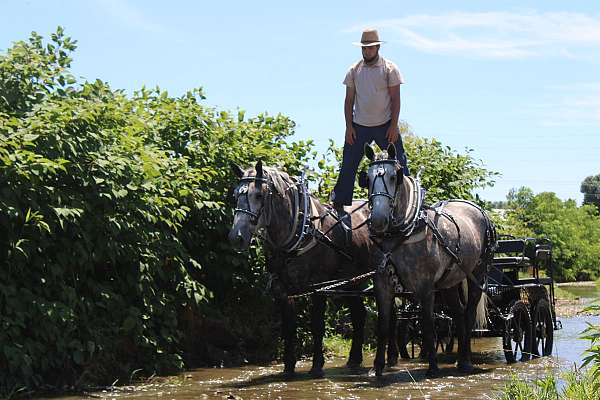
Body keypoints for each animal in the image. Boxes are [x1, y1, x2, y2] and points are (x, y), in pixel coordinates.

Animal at [227, 160, 382, 378]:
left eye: (258, 195)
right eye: (235, 196)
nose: (236, 237)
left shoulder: (317, 287)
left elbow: (317, 325)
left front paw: (317, 365)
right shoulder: (282, 290)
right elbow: (288, 327)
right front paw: (288, 367)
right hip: (352, 281)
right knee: (359, 315)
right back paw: (354, 359)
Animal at [360, 144, 496, 378]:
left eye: (394, 177)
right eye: (367, 179)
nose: (377, 220)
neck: (402, 233)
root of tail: (477, 209)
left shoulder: (425, 287)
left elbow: (428, 325)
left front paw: (432, 366)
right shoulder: (382, 284)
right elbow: (384, 326)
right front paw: (377, 368)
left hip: (478, 272)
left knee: (469, 312)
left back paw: (466, 361)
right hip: (450, 281)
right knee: (458, 313)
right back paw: (460, 358)